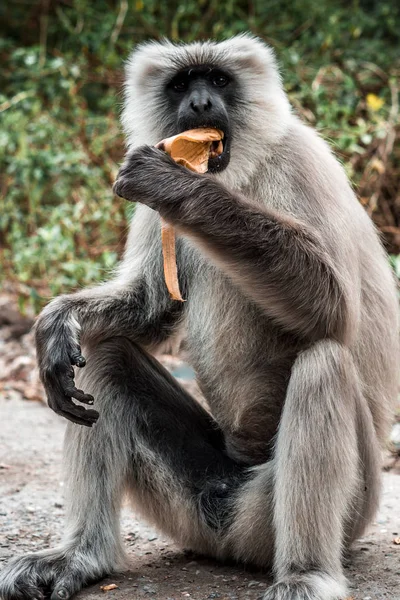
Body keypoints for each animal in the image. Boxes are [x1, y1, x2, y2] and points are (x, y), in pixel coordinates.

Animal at [0, 35, 398, 600]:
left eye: (219, 80)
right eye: (183, 84)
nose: (202, 104)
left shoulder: (301, 159)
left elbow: (336, 310)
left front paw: (176, 189)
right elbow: (151, 308)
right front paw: (57, 324)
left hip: (345, 509)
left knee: (324, 363)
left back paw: (306, 574)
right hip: (196, 507)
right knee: (106, 355)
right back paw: (82, 555)